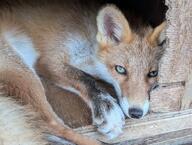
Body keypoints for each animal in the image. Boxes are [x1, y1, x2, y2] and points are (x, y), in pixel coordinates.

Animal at [0, 0, 165, 144]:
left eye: (153, 73)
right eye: (120, 69)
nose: (136, 113)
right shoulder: (48, 61)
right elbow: (85, 79)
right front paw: (106, 107)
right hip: (25, 72)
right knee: (50, 123)